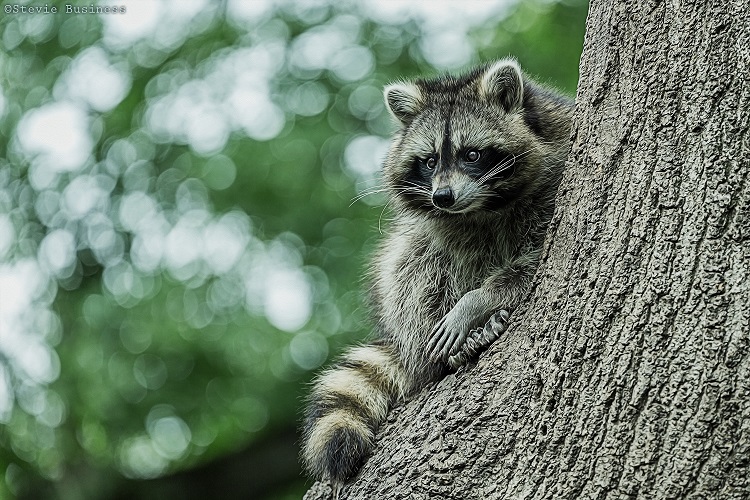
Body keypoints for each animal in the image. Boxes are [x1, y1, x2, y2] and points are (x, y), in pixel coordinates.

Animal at [302, 58, 572, 488]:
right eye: (429, 160)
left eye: (472, 154)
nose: (442, 197)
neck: (486, 205)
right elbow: (417, 258)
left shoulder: (556, 178)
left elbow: (531, 261)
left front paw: (477, 301)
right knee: (411, 262)